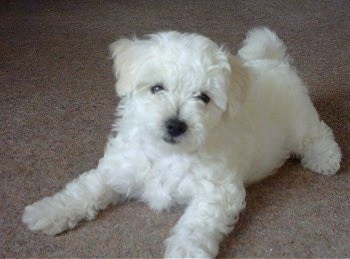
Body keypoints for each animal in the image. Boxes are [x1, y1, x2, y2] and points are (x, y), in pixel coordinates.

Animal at [22, 27, 342, 258]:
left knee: (318, 133)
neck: (167, 154)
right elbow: (85, 190)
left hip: (298, 121)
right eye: (157, 88)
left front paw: (185, 252)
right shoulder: (118, 169)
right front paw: (48, 211)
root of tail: (273, 61)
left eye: (203, 97)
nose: (175, 125)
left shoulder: (216, 191)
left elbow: (195, 226)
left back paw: (325, 158)